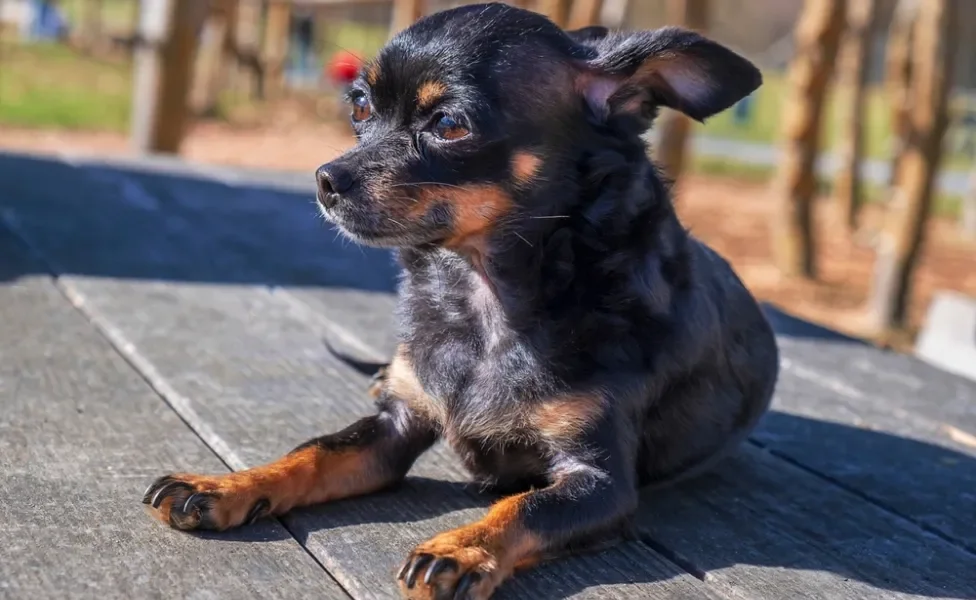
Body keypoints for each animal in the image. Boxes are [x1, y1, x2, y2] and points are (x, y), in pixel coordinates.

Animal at [141, 5, 776, 600]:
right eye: (361, 108)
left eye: (448, 124)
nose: (325, 178)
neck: (482, 299)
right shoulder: (394, 430)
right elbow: (312, 452)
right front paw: (224, 485)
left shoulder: (599, 482)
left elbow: (525, 506)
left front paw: (460, 548)